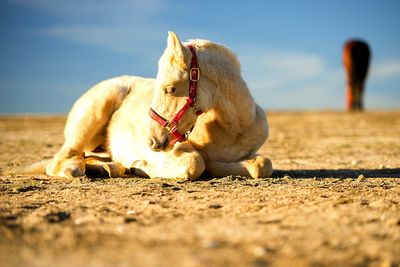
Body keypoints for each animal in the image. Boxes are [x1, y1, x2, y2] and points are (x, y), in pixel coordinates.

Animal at [39, 31, 272, 182]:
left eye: (170, 88)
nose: (151, 141)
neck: (232, 128)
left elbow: (263, 165)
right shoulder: (173, 151)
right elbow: (196, 162)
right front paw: (140, 166)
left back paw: (109, 168)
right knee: (61, 161)